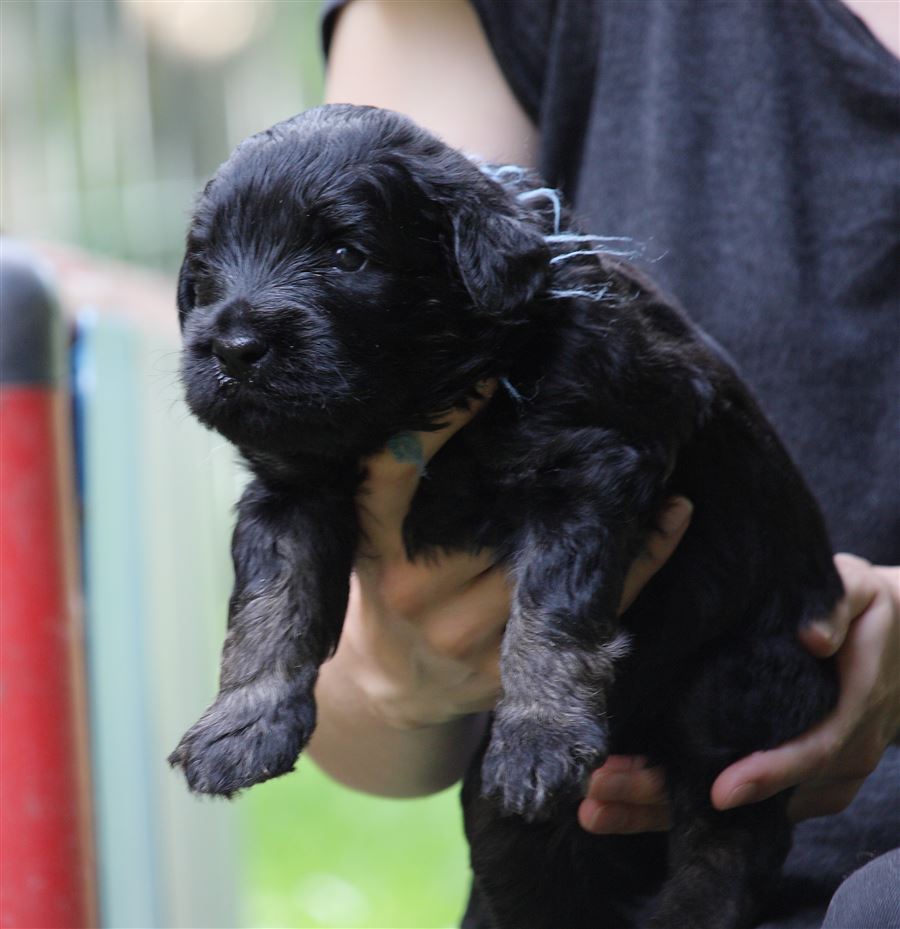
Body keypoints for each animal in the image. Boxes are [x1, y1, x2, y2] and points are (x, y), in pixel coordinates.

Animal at [169, 103, 842, 929]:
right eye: (205, 267)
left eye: (346, 254)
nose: (234, 347)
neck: (419, 402)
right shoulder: (291, 489)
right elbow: (269, 606)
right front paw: (240, 726)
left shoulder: (584, 470)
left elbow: (551, 613)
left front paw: (540, 735)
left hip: (735, 684)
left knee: (730, 828)